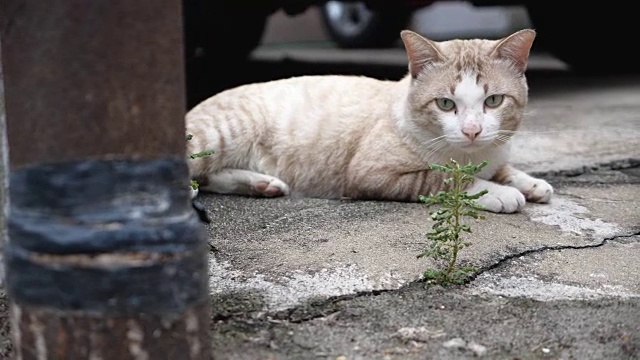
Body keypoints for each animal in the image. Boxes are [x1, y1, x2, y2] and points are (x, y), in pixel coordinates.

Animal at [184, 30, 552, 214]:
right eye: (446, 104)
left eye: (493, 101)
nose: (472, 131)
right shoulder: (372, 174)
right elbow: (446, 179)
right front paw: (498, 193)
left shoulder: (496, 150)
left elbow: (503, 167)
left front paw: (530, 183)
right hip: (222, 133)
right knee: (194, 167)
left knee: (209, 175)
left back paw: (261, 184)